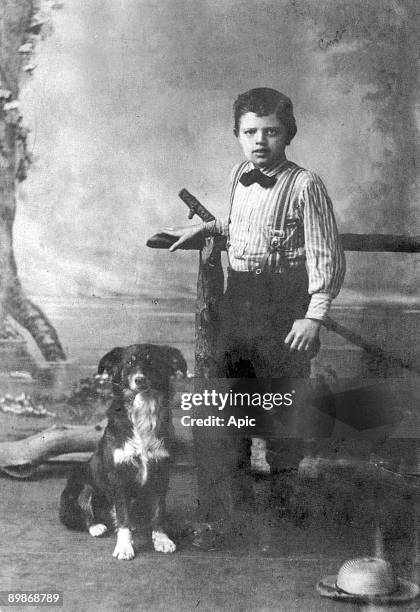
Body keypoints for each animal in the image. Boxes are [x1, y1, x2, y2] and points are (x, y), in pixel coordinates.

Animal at [59, 344, 187, 560]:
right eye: (129, 362)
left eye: (152, 361)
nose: (140, 379)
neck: (143, 411)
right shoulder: (118, 477)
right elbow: (123, 516)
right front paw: (125, 546)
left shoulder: (162, 473)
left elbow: (159, 511)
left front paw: (161, 538)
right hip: (81, 485)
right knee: (82, 513)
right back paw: (97, 526)